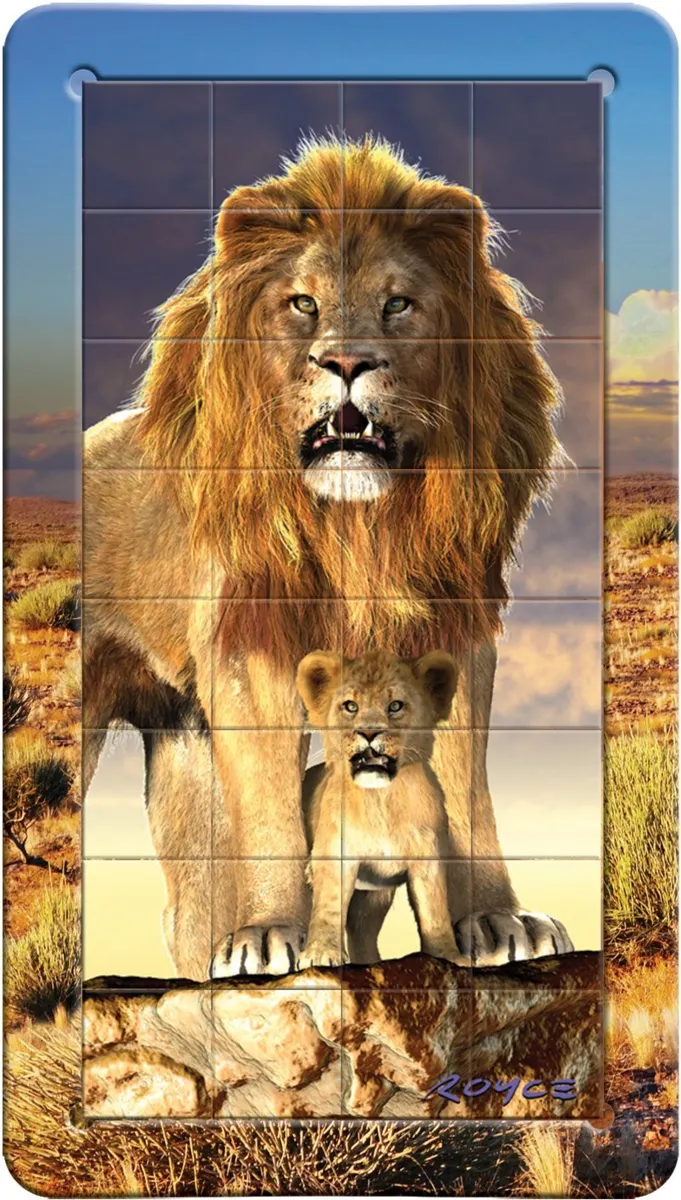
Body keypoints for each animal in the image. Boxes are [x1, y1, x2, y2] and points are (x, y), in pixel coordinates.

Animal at [295, 648, 463, 970]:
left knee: (363, 933)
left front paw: (447, 955)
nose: (369, 733)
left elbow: (434, 908)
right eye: (351, 706)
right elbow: (329, 904)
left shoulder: (428, 856)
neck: (381, 801)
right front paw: (320, 953)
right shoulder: (335, 851)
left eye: (395, 706)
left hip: (372, 899)